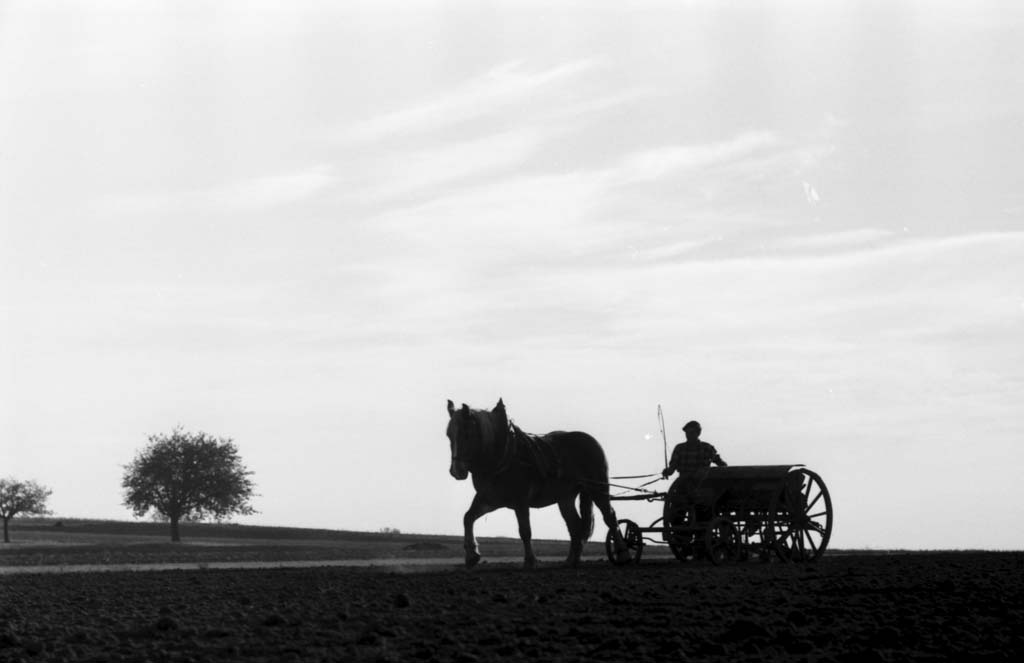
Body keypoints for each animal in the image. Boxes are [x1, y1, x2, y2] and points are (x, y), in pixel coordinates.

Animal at [444, 397, 626, 569]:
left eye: (467, 433)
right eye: (449, 434)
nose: (456, 471)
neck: (504, 455)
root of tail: (590, 440)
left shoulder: (521, 501)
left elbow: (525, 531)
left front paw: (530, 561)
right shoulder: (489, 499)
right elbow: (468, 517)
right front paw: (471, 555)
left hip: (598, 488)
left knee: (610, 517)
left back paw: (622, 552)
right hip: (565, 497)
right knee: (575, 526)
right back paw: (571, 561)